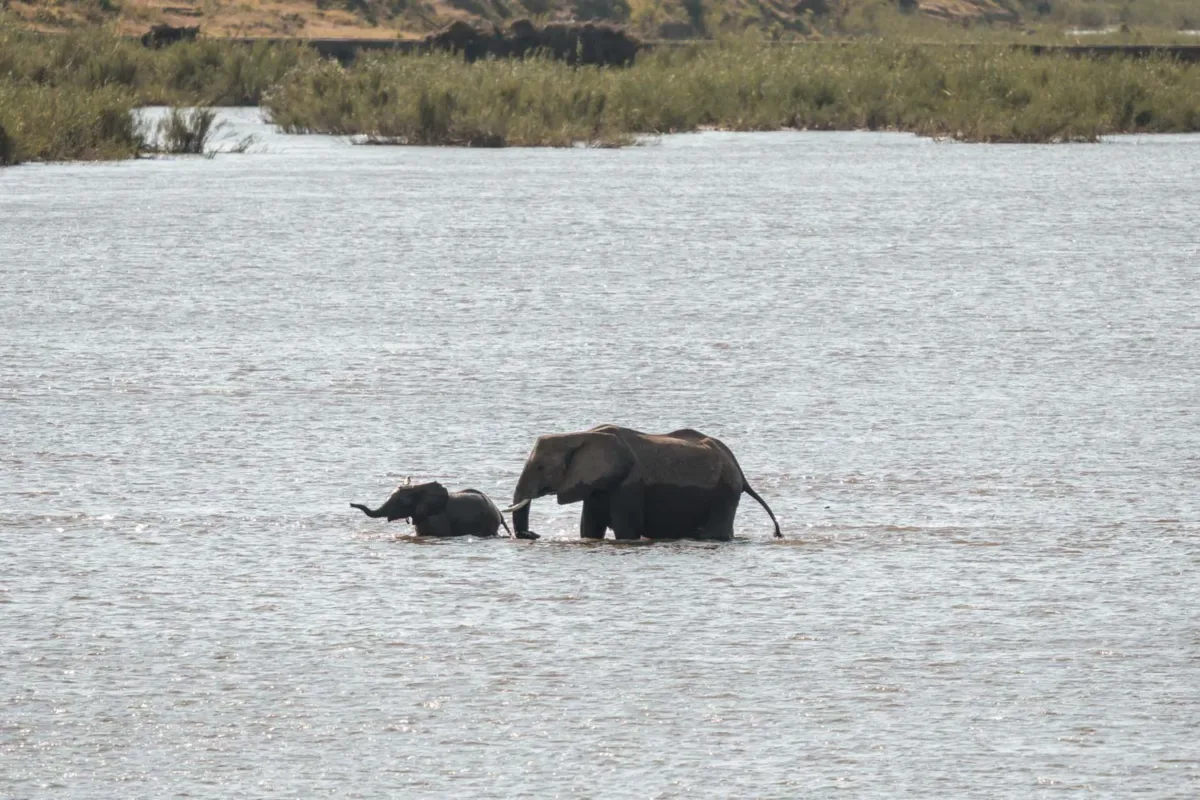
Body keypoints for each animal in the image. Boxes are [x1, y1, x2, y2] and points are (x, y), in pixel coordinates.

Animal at [503, 425, 782, 542]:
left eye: (541, 467)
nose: (533, 534)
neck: (580, 435)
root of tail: (740, 471)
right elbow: (589, 529)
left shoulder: (629, 484)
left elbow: (625, 531)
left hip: (725, 492)